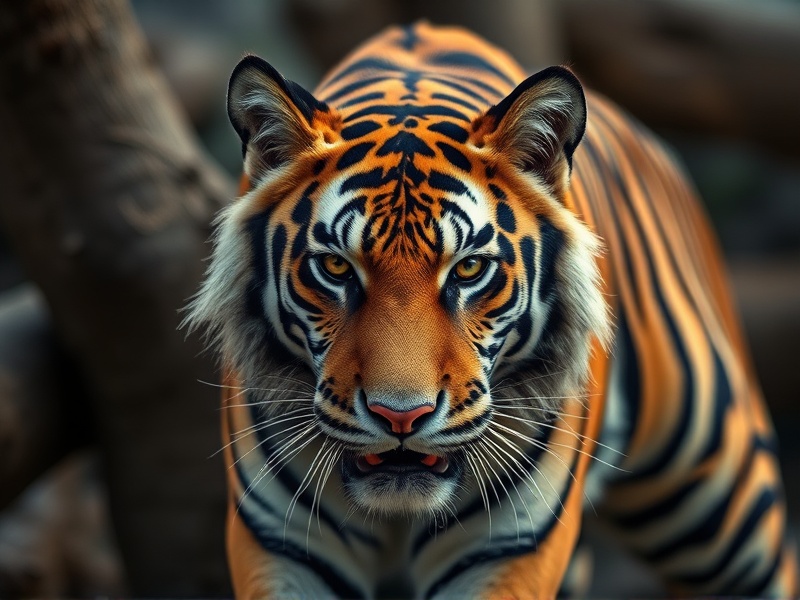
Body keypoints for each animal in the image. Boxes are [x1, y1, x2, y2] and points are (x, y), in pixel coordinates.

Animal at [186, 22, 798, 599]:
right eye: (336, 267)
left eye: (468, 270)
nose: (400, 417)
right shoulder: (281, 545)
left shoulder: (510, 547)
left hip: (726, 508)